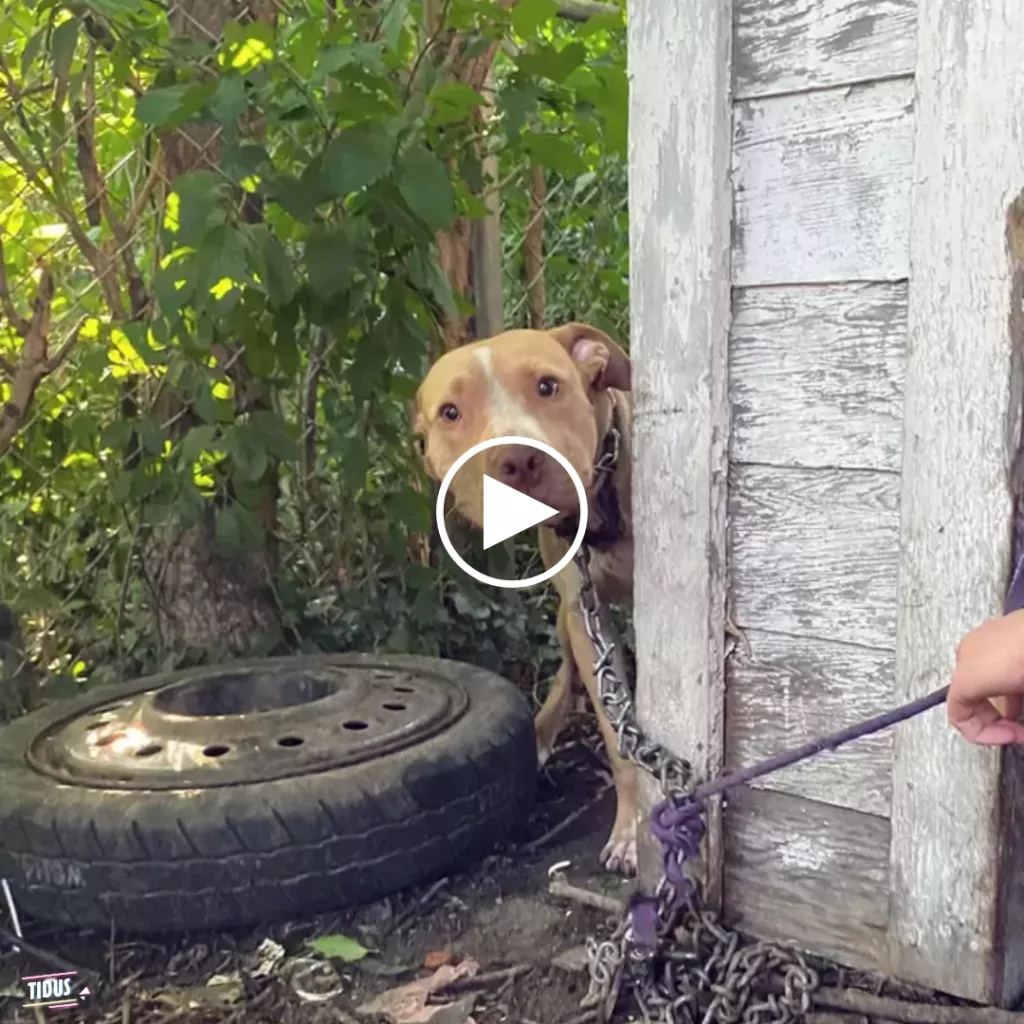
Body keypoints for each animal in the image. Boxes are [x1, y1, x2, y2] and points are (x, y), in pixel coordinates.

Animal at [409, 323, 634, 876]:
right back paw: (542, 732)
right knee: (568, 671)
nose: (516, 459)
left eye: (548, 386)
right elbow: (618, 736)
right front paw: (633, 829)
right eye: (450, 412)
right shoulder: (585, 615)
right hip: (567, 617)